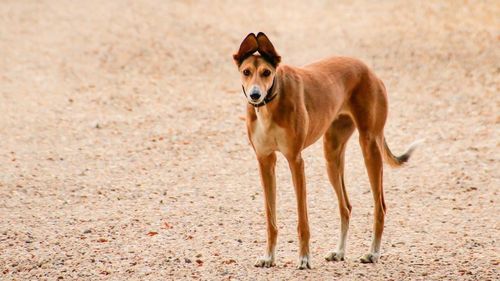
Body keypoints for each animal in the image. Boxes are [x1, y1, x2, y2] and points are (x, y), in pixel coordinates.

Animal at [233, 32, 418, 270]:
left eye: (266, 72)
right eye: (246, 72)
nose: (255, 95)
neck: (271, 101)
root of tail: (368, 69)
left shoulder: (295, 161)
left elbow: (302, 220)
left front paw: (304, 258)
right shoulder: (265, 161)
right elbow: (270, 219)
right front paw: (268, 257)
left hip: (369, 147)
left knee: (380, 207)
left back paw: (373, 253)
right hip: (332, 155)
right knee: (345, 207)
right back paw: (339, 252)